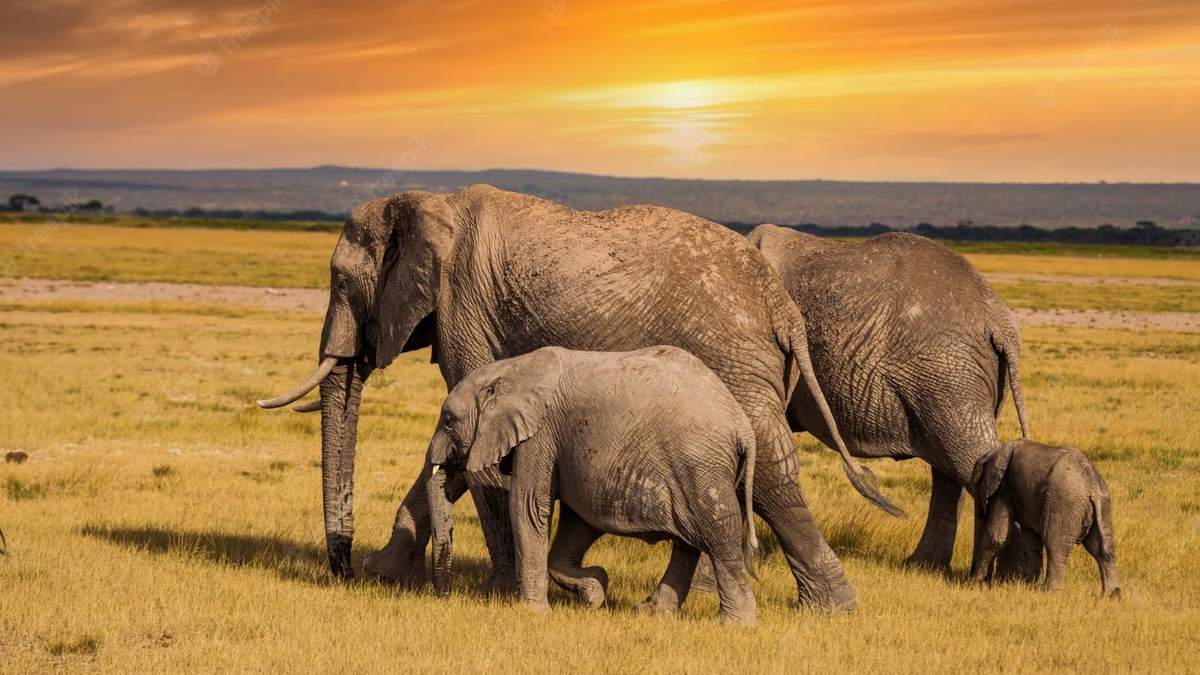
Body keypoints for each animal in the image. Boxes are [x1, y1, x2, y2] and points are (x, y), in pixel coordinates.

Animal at [426, 346, 760, 624]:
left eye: (449, 421)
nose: (443, 595)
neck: (512, 367)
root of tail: (743, 427)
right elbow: (577, 523)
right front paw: (595, 591)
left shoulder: (541, 434)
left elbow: (528, 506)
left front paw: (534, 613)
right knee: (688, 543)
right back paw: (650, 612)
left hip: (700, 466)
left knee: (719, 536)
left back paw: (735, 624)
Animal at [747, 225, 1030, 572]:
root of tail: (1000, 322)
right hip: (958, 375)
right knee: (952, 469)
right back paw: (926, 567)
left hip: (947, 374)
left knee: (968, 460)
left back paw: (1001, 576)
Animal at [969, 440, 1120, 597]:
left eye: (975, 488)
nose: (972, 575)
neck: (996, 451)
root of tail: (1092, 484)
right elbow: (1031, 541)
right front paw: (1028, 586)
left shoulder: (1004, 490)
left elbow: (996, 537)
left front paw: (974, 584)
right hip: (1104, 504)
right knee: (1103, 548)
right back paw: (1112, 596)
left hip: (1064, 503)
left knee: (1055, 544)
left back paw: (1051, 591)